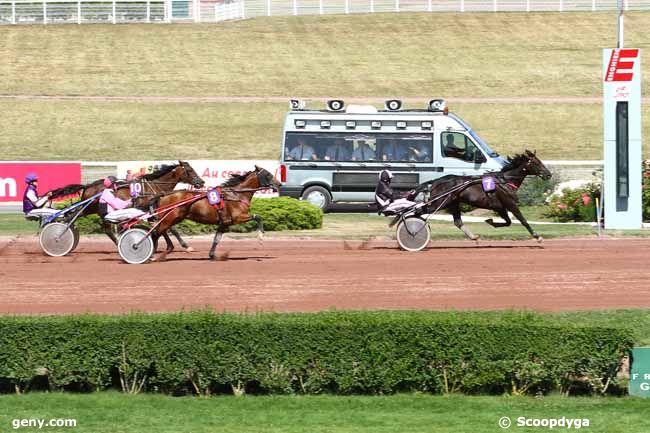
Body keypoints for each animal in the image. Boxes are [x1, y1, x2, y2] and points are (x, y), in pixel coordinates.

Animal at [48, 161, 204, 250]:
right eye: (190, 170)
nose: (201, 182)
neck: (154, 186)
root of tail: (89, 185)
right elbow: (170, 228)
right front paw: (185, 245)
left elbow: (167, 227)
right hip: (96, 208)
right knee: (81, 221)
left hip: (93, 210)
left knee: (82, 219)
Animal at [148, 165, 280, 260]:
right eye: (268, 174)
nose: (279, 184)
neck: (236, 195)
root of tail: (164, 195)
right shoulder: (238, 217)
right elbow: (258, 217)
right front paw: (261, 235)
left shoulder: (224, 223)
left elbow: (216, 239)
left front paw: (212, 255)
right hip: (170, 218)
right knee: (156, 233)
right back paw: (151, 255)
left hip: (171, 218)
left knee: (161, 231)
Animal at [416, 150, 552, 241]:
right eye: (536, 163)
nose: (548, 174)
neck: (504, 181)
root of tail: (436, 181)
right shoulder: (510, 203)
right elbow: (523, 220)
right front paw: (537, 236)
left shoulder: (500, 207)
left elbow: (508, 222)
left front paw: (490, 221)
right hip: (440, 203)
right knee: (419, 211)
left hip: (453, 203)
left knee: (458, 222)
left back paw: (473, 237)